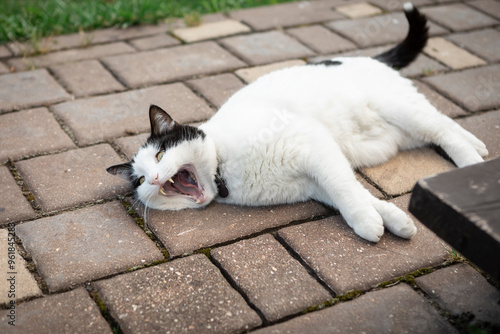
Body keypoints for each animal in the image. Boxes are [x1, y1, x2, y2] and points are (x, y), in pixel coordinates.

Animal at [107, 2, 486, 243]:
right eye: (139, 180)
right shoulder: (316, 182)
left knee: (442, 127)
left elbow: (347, 191)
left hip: (399, 109)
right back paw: (478, 148)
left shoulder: (314, 147)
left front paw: (366, 223)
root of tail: (367, 58)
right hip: (405, 130)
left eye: (160, 156)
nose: (154, 178)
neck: (223, 172)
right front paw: (392, 219)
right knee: (445, 124)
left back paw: (471, 165)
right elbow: (357, 192)